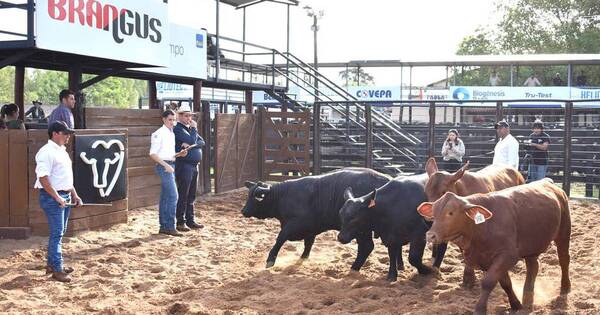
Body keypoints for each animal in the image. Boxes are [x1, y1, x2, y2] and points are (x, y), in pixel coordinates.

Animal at [241, 169, 392, 270]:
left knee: (366, 246)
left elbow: (280, 239)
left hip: (360, 229)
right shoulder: (310, 229)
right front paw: (303, 258)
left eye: (255, 197)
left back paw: (354, 268)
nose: (243, 211)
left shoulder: (293, 225)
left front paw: (270, 260)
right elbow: (308, 244)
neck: (283, 195)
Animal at [418, 179, 572, 314]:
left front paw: (480, 309)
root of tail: (550, 183)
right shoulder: (489, 260)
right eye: (434, 213)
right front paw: (516, 304)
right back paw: (528, 296)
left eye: (450, 213)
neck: (483, 226)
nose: (430, 235)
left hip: (564, 232)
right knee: (533, 267)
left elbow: (488, 282)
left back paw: (565, 288)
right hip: (531, 246)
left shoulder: (508, 255)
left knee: (564, 260)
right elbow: (505, 283)